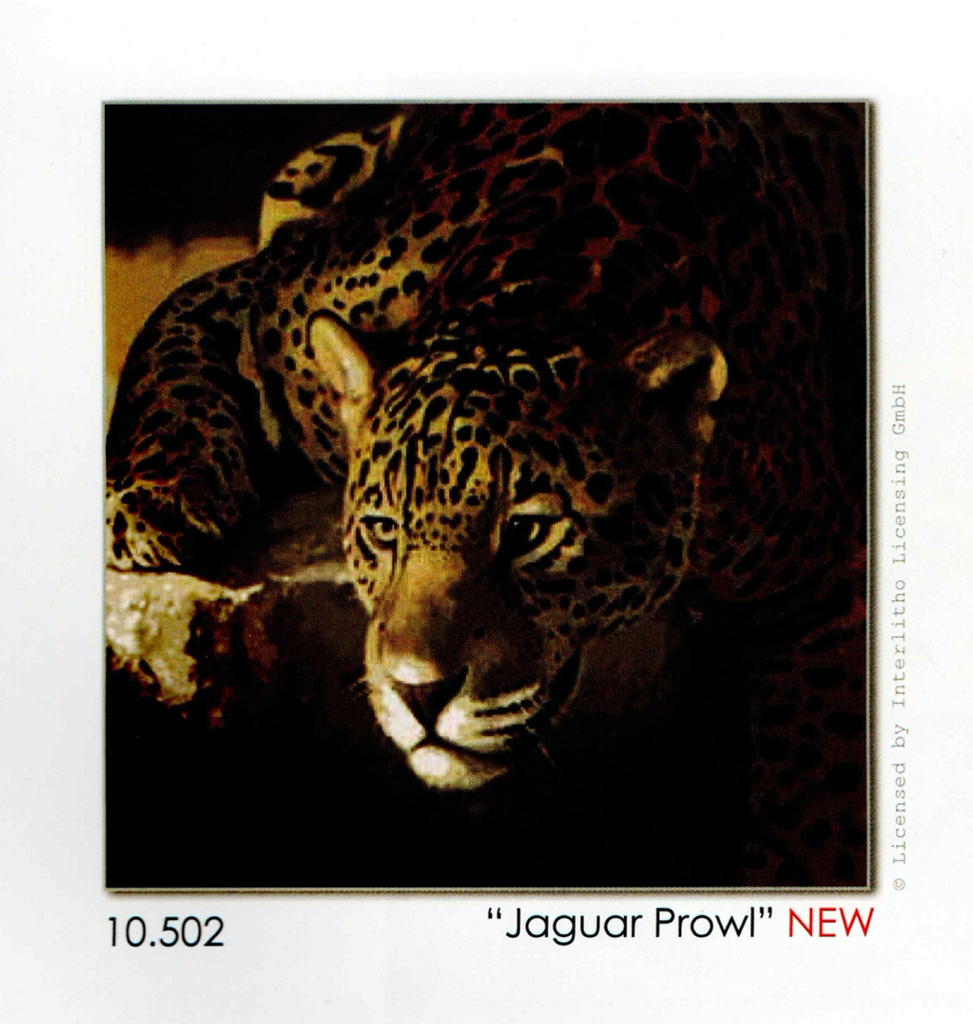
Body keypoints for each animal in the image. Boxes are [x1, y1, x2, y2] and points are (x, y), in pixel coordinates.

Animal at [106, 103, 867, 886]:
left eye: (528, 533)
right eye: (383, 530)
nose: (418, 693)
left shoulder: (820, 581)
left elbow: (813, 798)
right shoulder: (264, 301)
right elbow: (173, 345)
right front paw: (157, 500)